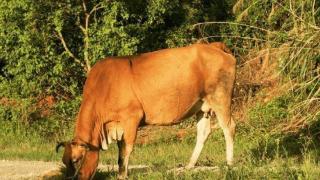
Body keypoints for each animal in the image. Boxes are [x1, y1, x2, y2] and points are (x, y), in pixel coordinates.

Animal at [56, 41, 236, 179]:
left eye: (76, 159)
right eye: (64, 162)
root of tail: (213, 45)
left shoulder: (131, 117)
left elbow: (127, 150)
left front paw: (123, 175)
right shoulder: (119, 124)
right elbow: (120, 151)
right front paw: (120, 173)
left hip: (220, 98)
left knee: (229, 127)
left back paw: (229, 164)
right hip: (202, 105)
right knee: (203, 132)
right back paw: (189, 166)